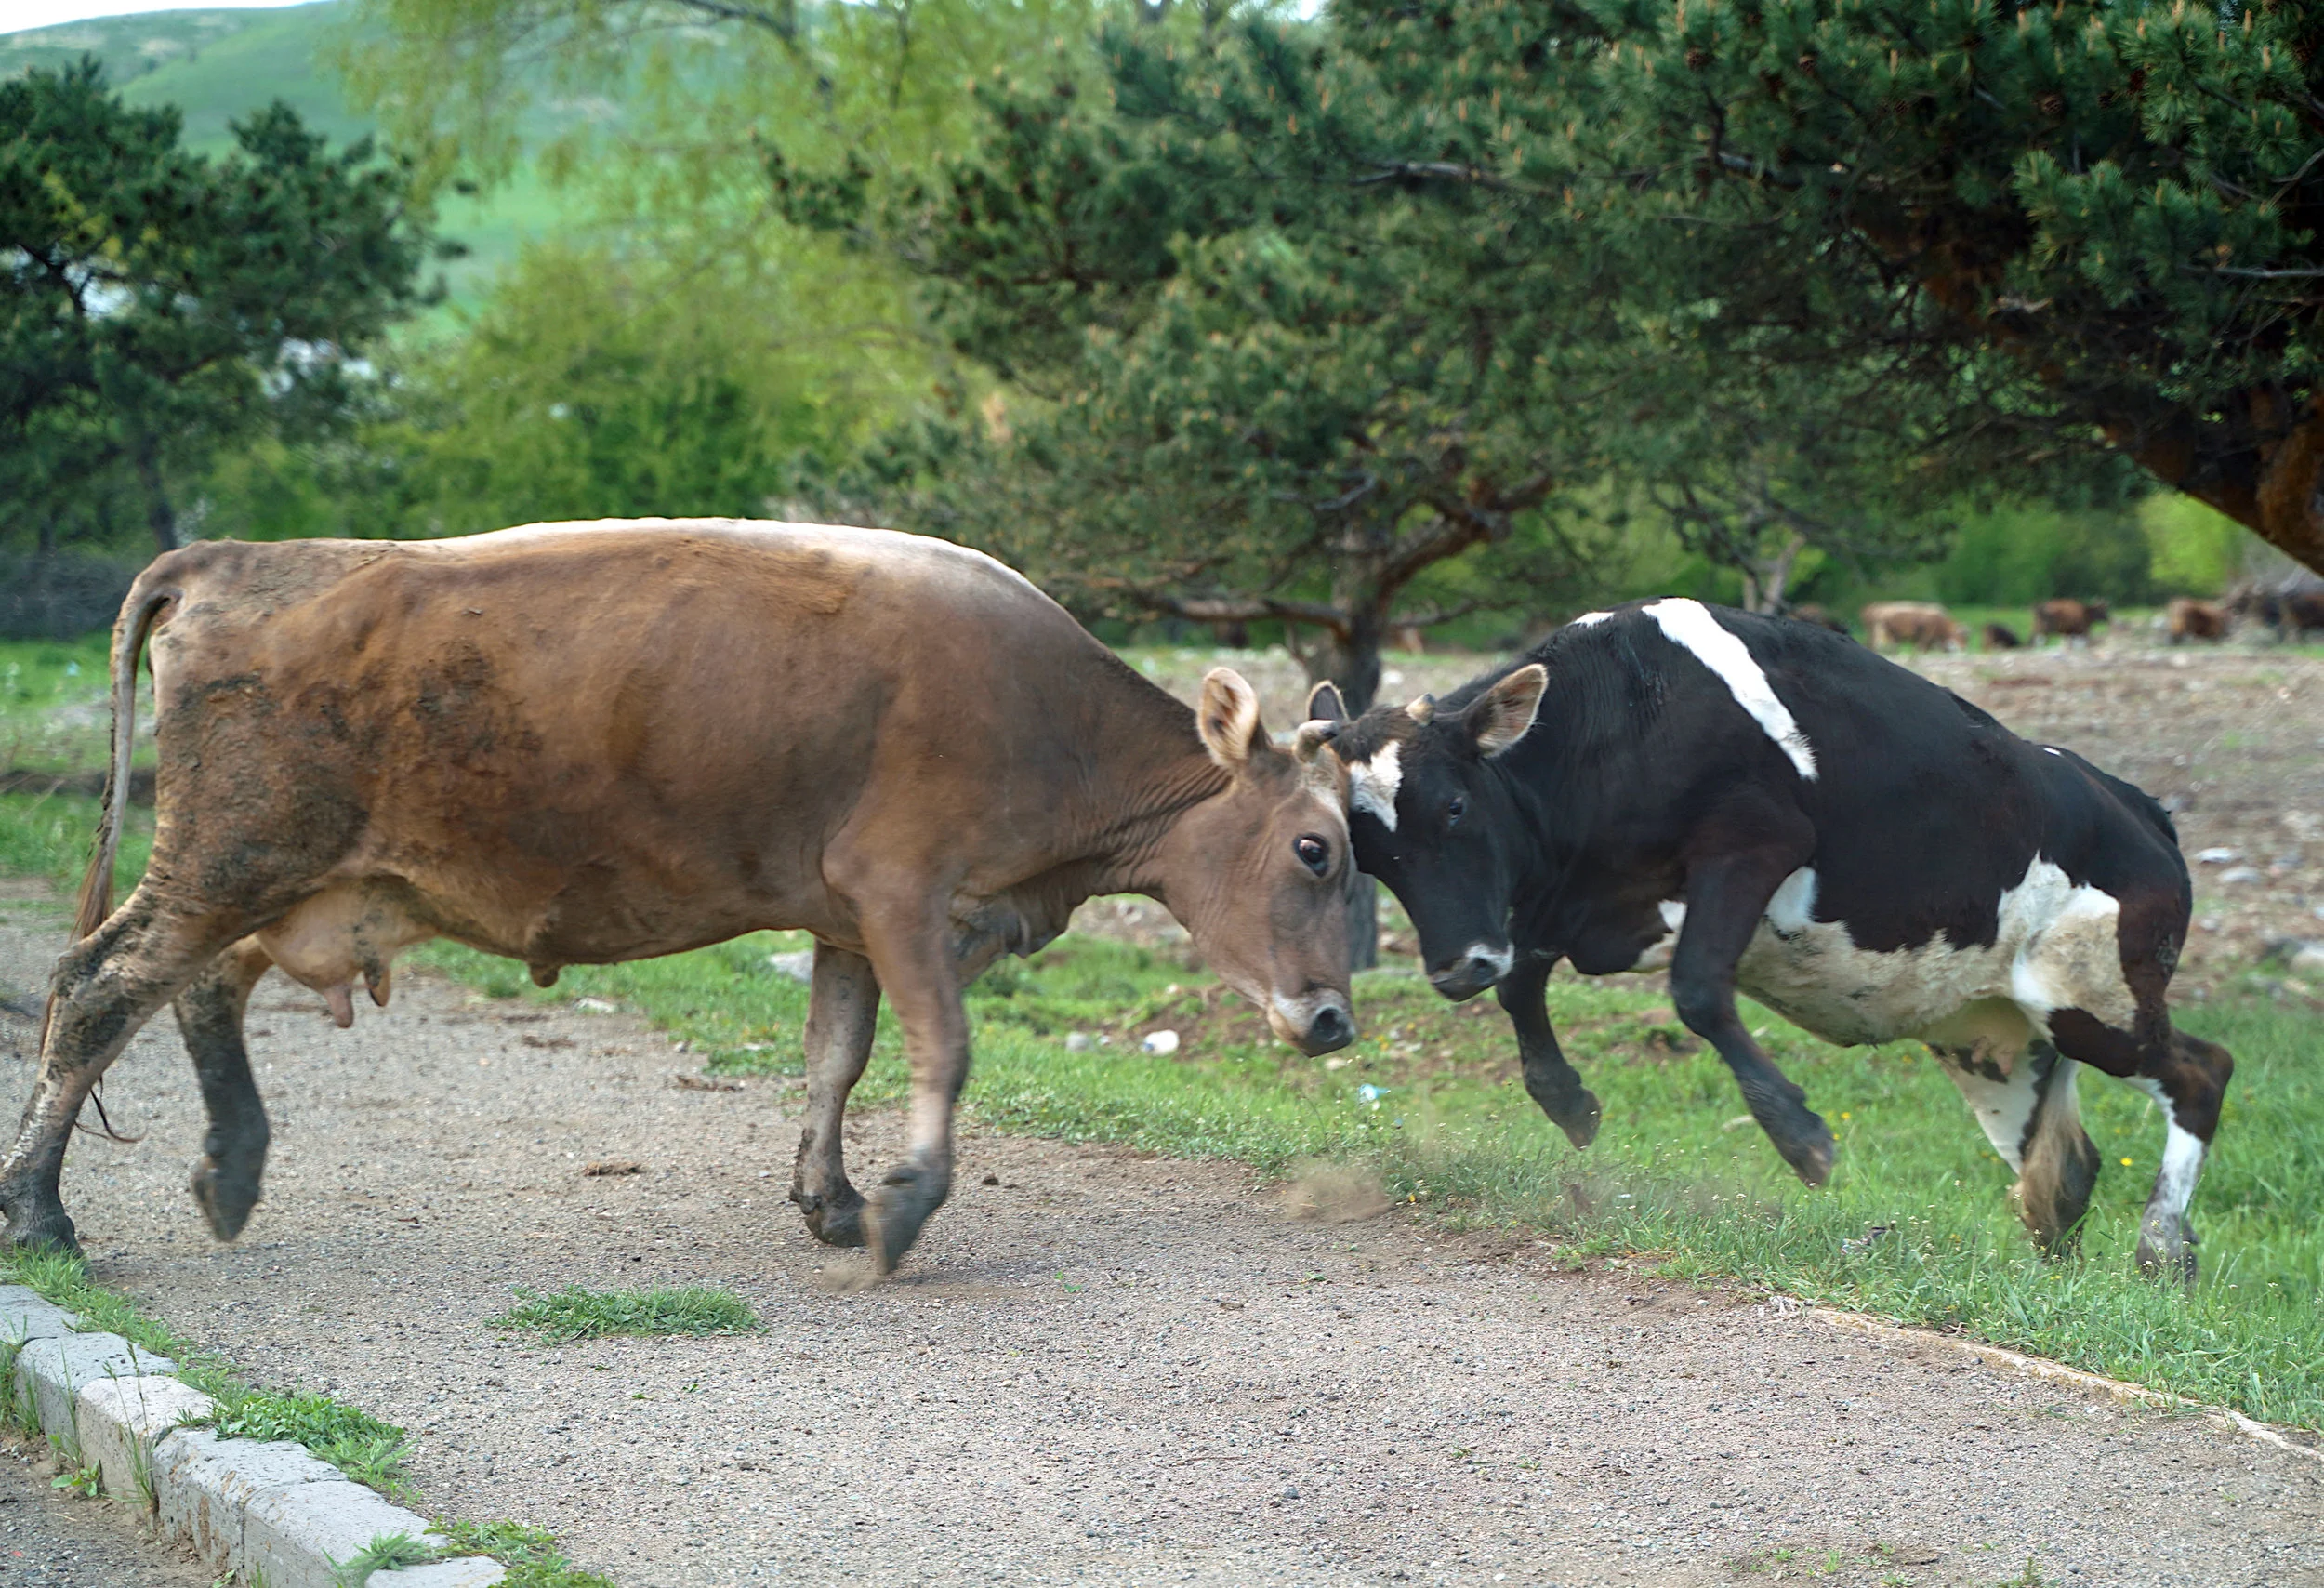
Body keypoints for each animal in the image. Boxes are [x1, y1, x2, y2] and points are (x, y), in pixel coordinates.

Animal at [3, 521, 1357, 1274]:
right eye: (1317, 849)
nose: (1338, 1018)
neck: (1049, 729)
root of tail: (234, 558)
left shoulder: (848, 919)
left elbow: (835, 1055)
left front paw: (830, 1196)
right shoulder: (905, 890)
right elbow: (944, 1050)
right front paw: (904, 1206)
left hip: (299, 885)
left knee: (198, 992)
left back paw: (229, 1170)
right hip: (229, 860)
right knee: (99, 987)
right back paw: (41, 1211)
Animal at [1308, 598, 2232, 1279]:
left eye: (1454, 806)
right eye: (1369, 853)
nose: (1454, 966)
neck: (1626, 716)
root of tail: (2136, 806)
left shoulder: (1753, 846)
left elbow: (1696, 990)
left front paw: (1800, 1136)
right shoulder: (1579, 905)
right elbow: (1523, 987)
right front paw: (1567, 1099)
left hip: (2096, 999)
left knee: (2202, 1073)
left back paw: (2162, 1245)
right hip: (1995, 1039)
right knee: (2063, 1171)